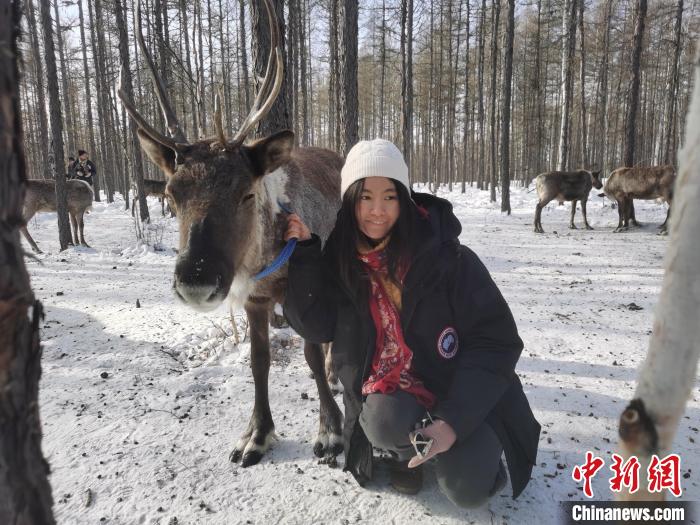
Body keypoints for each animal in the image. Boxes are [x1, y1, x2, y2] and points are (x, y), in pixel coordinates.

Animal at [118, 0, 343, 467]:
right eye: (172, 193)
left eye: (246, 191)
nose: (196, 281)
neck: (264, 259)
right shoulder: (255, 300)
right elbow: (259, 362)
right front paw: (257, 433)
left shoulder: (303, 286)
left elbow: (311, 354)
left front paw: (330, 431)